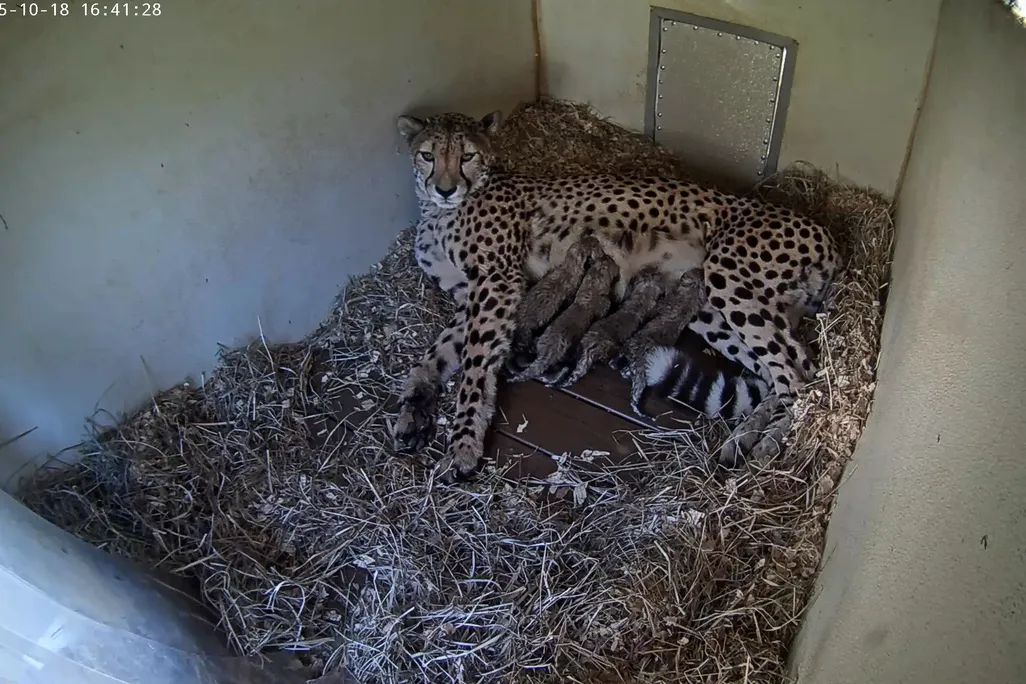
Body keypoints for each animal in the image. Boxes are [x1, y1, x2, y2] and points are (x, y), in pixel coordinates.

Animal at [392, 109, 837, 479]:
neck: (440, 212)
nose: (445, 189)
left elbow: (474, 365)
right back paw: (743, 437)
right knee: (781, 373)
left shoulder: (496, 282)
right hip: (711, 307)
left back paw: (764, 444)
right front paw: (414, 407)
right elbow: (436, 355)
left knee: (798, 375)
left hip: (729, 280)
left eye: (467, 155)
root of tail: (824, 233)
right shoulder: (470, 294)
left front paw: (463, 446)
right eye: (428, 156)